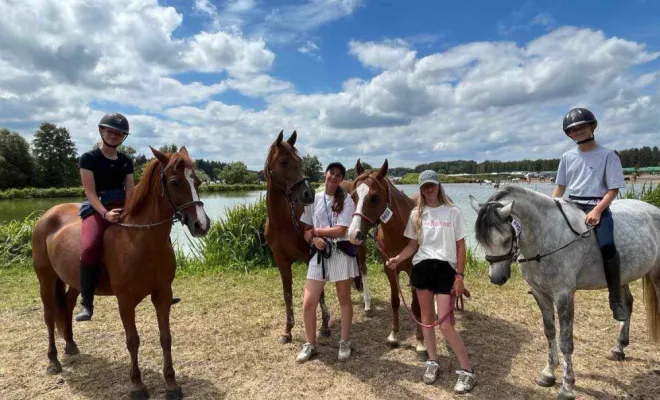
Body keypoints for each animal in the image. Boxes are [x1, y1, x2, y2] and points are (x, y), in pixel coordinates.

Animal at [32, 147, 210, 400]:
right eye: (175, 182)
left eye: (197, 181)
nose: (202, 225)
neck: (139, 240)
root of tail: (47, 215)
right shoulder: (125, 301)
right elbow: (132, 340)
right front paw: (137, 386)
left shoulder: (163, 295)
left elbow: (165, 337)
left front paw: (172, 384)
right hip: (45, 278)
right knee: (48, 316)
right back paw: (53, 361)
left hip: (74, 282)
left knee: (66, 305)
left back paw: (71, 345)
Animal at [262, 130, 366, 344]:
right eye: (283, 162)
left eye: (300, 161)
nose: (307, 194)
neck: (283, 222)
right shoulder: (281, 261)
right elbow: (288, 294)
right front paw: (287, 331)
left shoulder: (311, 255)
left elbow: (319, 293)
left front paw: (325, 326)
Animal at [346, 159, 428, 356]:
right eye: (353, 196)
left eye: (374, 197)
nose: (353, 234)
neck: (402, 231)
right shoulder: (390, 269)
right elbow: (395, 301)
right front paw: (393, 335)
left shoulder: (414, 271)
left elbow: (416, 306)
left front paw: (420, 342)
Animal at [470, 186, 660, 398]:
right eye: (482, 240)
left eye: (506, 239)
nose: (497, 278)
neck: (547, 237)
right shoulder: (540, 293)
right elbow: (549, 331)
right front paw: (548, 373)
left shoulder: (563, 295)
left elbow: (566, 340)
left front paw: (567, 386)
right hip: (623, 277)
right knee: (627, 304)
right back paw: (619, 348)